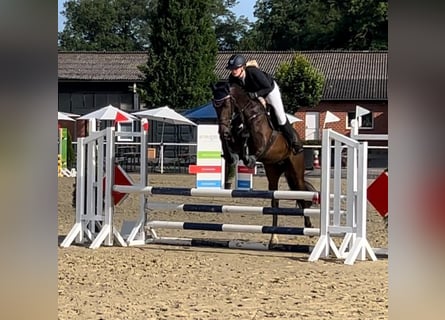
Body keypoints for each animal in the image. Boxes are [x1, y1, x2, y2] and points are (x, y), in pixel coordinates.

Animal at [210, 82, 314, 245]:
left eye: (226, 104)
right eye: (214, 105)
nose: (223, 130)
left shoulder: (262, 145)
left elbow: (249, 149)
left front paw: (246, 152)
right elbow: (231, 149)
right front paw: (231, 150)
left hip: (296, 171)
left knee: (302, 195)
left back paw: (309, 227)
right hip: (272, 172)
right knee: (275, 202)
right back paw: (273, 237)